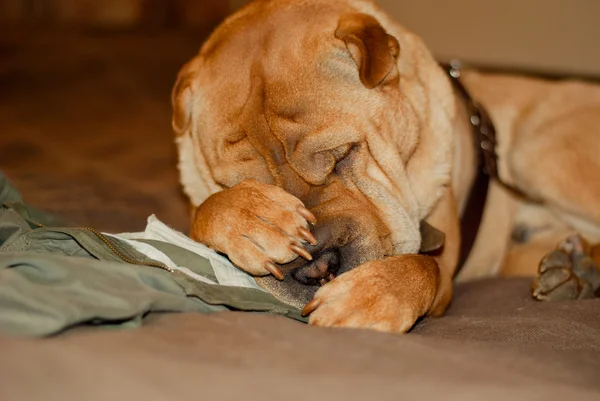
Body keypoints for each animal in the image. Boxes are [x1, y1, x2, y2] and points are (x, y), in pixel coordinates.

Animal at [171, 0, 600, 332]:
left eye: (344, 154)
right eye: (236, 183)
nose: (317, 267)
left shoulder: (442, 255)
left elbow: (422, 267)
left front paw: (364, 298)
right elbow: (204, 211)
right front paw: (255, 218)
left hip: (536, 154)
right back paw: (575, 270)